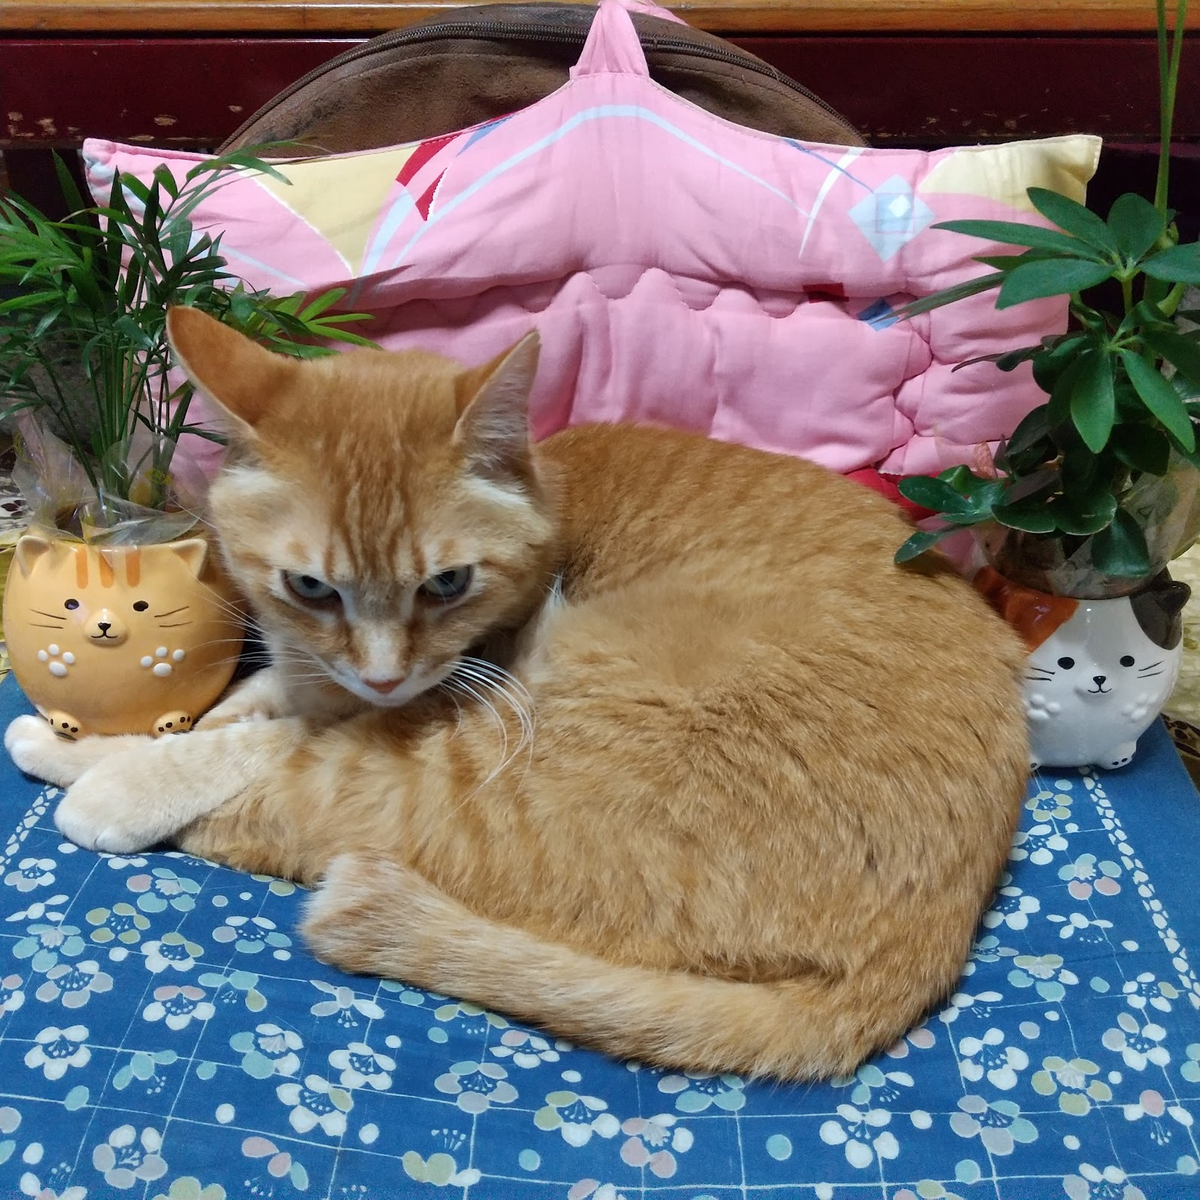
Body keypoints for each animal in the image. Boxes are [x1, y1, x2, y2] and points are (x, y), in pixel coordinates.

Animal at [5, 305, 1030, 1081]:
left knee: (294, 818)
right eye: (310, 588)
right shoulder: (317, 675)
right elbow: (249, 701)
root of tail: (903, 971)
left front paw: (117, 764)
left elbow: (251, 741)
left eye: (448, 584)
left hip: (496, 765)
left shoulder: (425, 708)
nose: (384, 674)